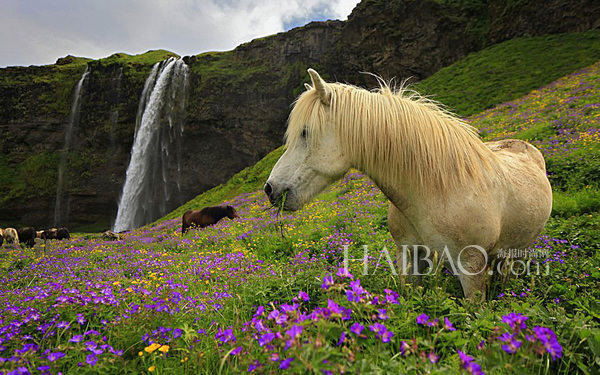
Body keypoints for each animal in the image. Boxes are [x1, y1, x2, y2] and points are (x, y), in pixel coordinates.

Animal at [268, 69, 552, 302]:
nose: (270, 189)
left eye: (305, 132)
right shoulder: (410, 255)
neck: (436, 190)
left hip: (517, 252)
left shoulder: (471, 266)